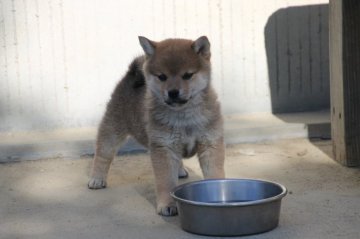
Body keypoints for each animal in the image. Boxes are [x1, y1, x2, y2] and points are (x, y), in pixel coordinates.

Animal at [88, 36, 225, 217]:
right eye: (162, 77)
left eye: (187, 75)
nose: (173, 92)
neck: (184, 116)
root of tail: (131, 75)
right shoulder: (163, 147)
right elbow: (166, 182)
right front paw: (167, 205)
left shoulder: (210, 144)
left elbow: (215, 174)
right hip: (113, 128)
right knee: (103, 154)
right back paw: (97, 179)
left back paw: (180, 170)